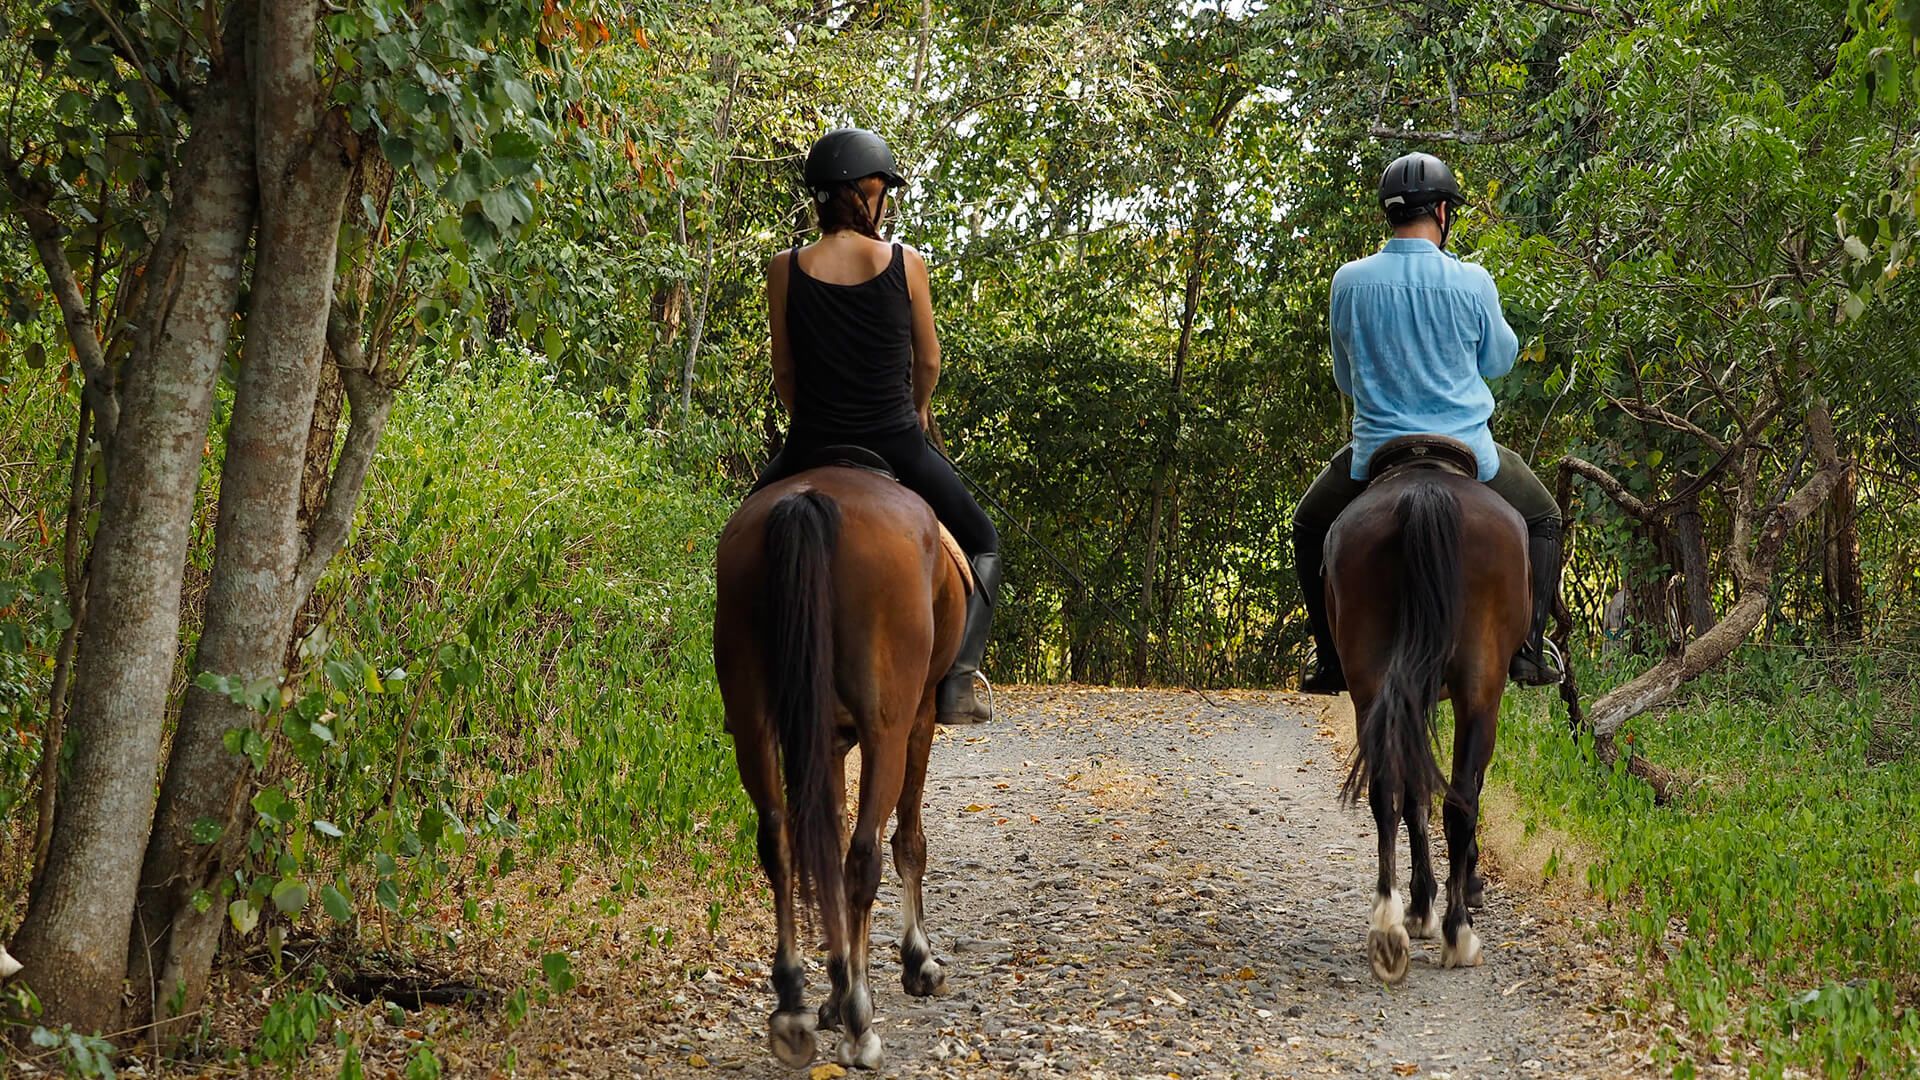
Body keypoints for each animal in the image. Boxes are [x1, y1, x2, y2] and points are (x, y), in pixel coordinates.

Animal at [714, 465, 967, 1068]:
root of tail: (811, 499)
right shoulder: (919, 718)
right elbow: (909, 842)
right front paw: (917, 964)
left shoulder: (824, 742)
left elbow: (822, 847)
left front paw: (831, 989)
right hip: (886, 730)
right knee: (863, 856)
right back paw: (860, 1023)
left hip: (755, 722)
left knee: (781, 843)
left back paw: (792, 1007)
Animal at [1320, 432, 1528, 980]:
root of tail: (1424, 491)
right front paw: (1454, 893)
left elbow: (1416, 798)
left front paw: (1418, 905)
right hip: (1481, 690)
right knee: (1461, 802)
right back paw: (1458, 933)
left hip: (1373, 682)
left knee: (1388, 792)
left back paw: (1388, 927)